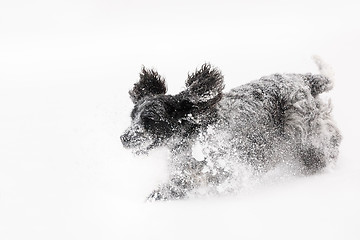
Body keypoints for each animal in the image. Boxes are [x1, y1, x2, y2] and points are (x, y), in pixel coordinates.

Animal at [120, 57, 340, 201]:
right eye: (132, 117)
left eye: (149, 120)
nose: (124, 138)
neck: (196, 134)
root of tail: (303, 79)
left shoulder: (228, 166)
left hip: (303, 128)